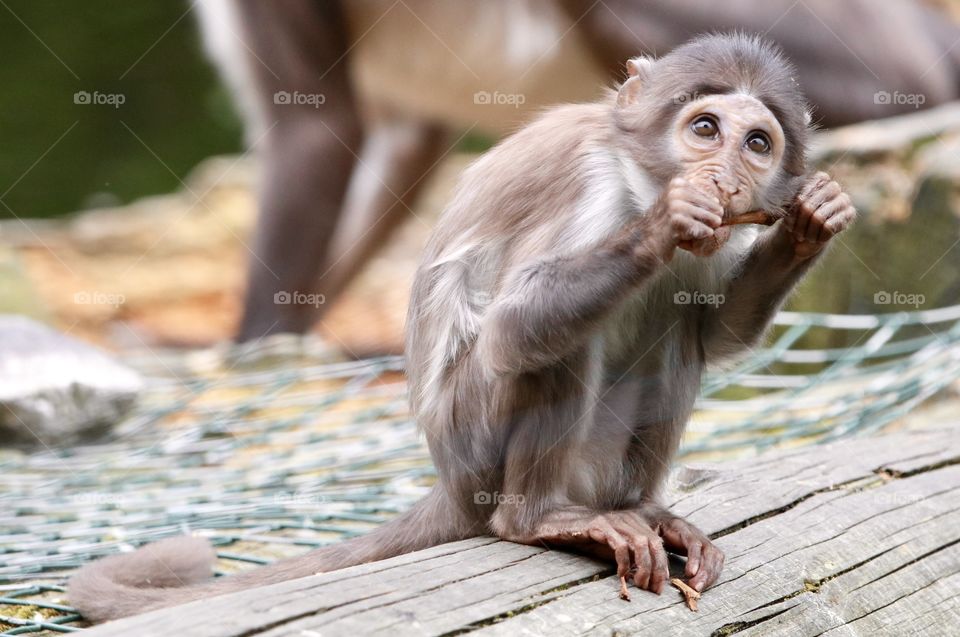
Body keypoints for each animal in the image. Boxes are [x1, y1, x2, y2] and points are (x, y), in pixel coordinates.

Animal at [70, 33, 856, 622]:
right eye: (705, 129)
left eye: (756, 143)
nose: (726, 178)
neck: (636, 181)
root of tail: (450, 479)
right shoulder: (589, 188)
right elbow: (512, 330)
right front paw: (666, 222)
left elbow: (717, 334)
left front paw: (809, 224)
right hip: (473, 438)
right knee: (552, 349)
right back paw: (538, 520)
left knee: (674, 332)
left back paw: (645, 511)